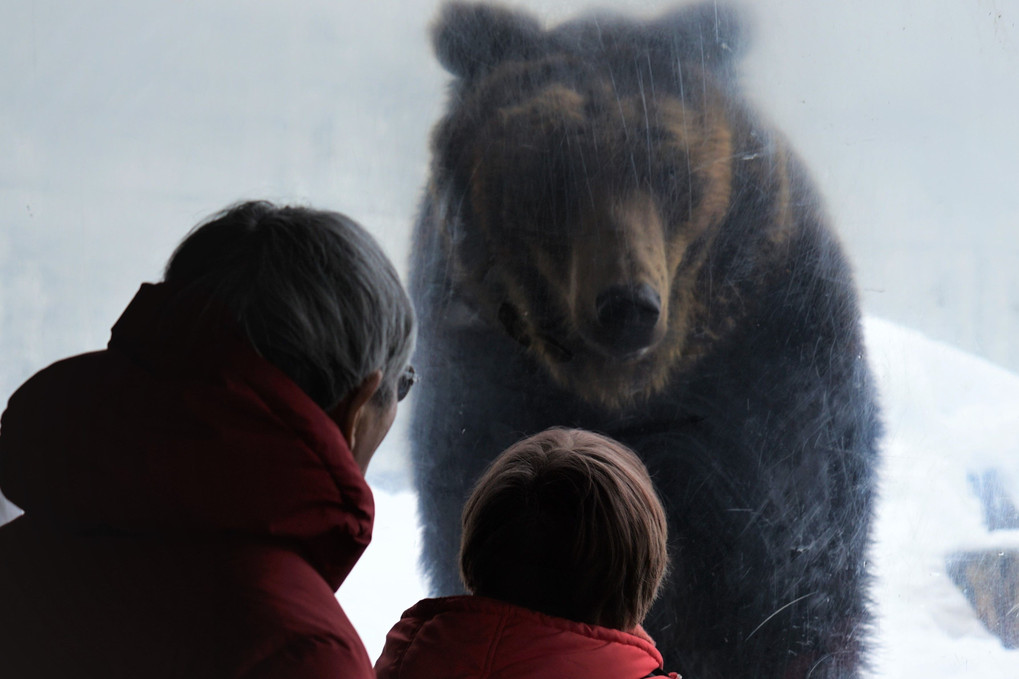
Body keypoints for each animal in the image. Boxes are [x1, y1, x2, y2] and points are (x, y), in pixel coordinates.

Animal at [409, 5, 880, 676]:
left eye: (667, 166)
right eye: (554, 172)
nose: (626, 306)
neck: (627, 389)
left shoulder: (774, 380)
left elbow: (782, 580)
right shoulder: (481, 381)